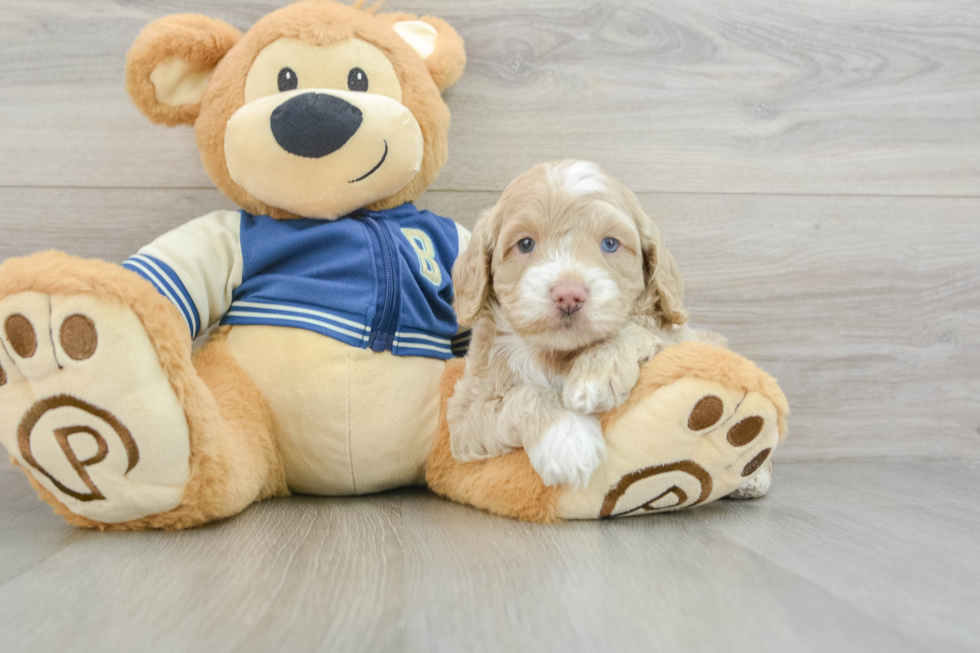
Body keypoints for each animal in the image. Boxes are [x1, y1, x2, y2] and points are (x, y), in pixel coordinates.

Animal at [448, 162, 708, 488]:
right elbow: (521, 396)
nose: (568, 294)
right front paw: (567, 439)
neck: (556, 353)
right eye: (525, 243)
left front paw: (595, 375)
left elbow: (639, 327)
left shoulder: (678, 335)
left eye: (610, 243)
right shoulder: (464, 415)